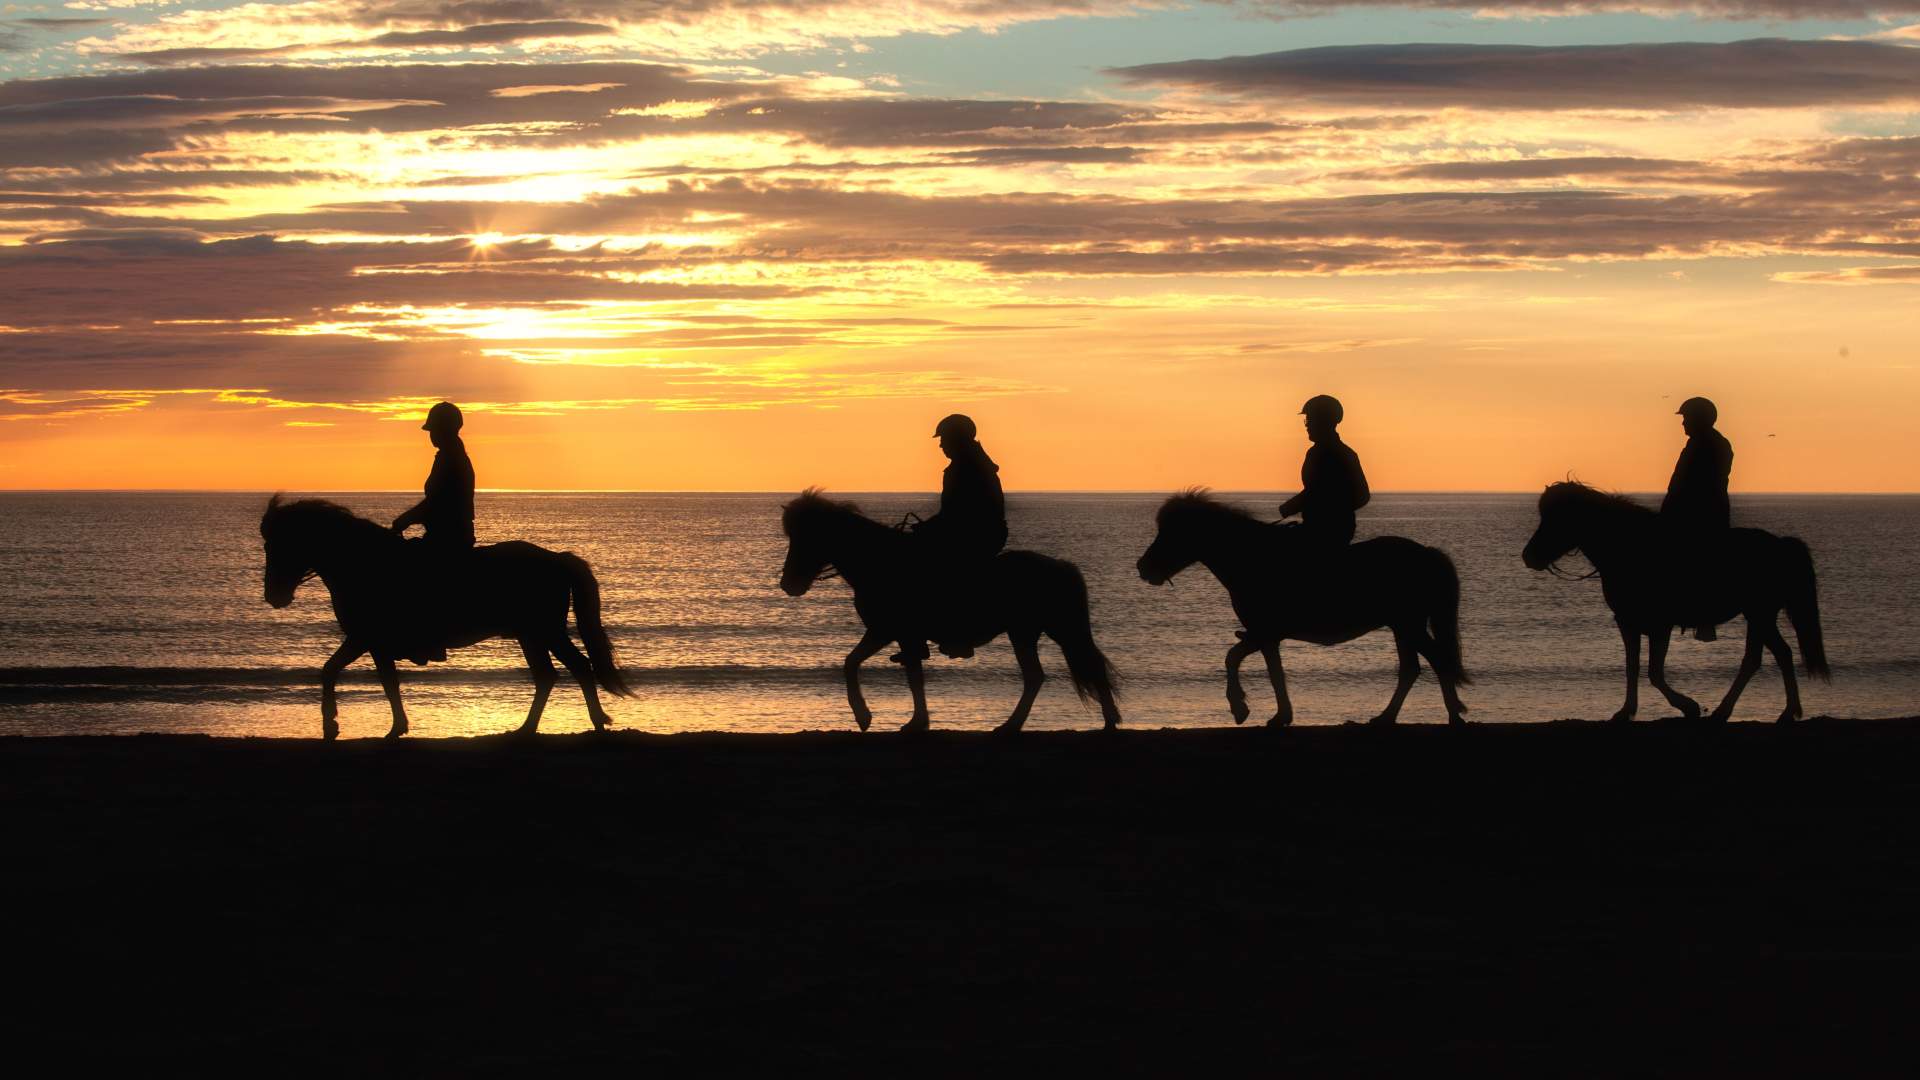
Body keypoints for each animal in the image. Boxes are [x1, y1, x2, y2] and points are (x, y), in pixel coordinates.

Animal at [255, 495, 625, 730]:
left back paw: (591, 722)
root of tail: (557, 558)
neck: (364, 563)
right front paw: (389, 724)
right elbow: (367, 677)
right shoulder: (370, 641)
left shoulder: (366, 638)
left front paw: (336, 722)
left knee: (575, 668)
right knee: (552, 675)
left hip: (542, 631)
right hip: (532, 635)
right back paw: (529, 728)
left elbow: (348, 674)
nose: (273, 595)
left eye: (278, 545)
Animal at [771, 490, 1121, 730]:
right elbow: (876, 667)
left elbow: (874, 668)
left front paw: (871, 716)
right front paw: (904, 720)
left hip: (1043, 630)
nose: (789, 584)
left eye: (807, 537)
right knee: (1053, 672)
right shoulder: (895, 634)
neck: (880, 562)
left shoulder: (890, 631)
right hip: (1037, 631)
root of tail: (1060, 565)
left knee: (1059, 671)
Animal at [1128, 488, 1459, 722]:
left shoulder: (1264, 633)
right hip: (1402, 626)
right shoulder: (1263, 635)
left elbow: (1253, 666)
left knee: (1434, 661)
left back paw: (1452, 715)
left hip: (1407, 625)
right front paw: (1262, 711)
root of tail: (1426, 553)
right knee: (1413, 668)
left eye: (1172, 532)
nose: (1143, 567)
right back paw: (1387, 717)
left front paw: (1252, 710)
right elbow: (1251, 664)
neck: (1250, 559)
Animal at [1512, 480, 1827, 718]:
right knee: (1770, 656)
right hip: (1758, 615)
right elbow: (1632, 667)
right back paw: (1765, 711)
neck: (1628, 548)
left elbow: (1654, 672)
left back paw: (1749, 711)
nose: (1529, 556)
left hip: (1759, 613)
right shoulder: (1627, 622)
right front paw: (1626, 711)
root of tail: (1780, 545)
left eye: (1557, 518)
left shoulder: (1659, 625)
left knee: (1765, 656)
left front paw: (1688, 706)